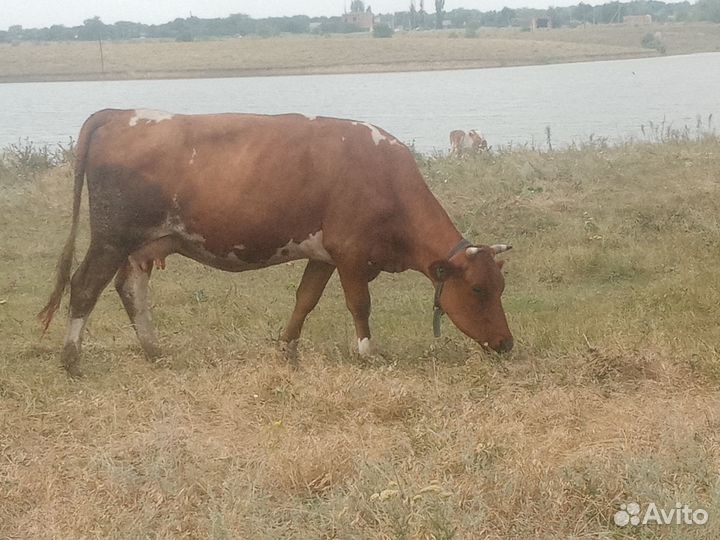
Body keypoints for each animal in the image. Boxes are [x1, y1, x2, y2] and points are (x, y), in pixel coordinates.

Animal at [39, 109, 513, 376]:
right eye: (477, 289)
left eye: (500, 287)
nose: (507, 344)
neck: (385, 177)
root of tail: (120, 113)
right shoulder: (351, 253)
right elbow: (359, 304)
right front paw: (368, 353)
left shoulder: (323, 255)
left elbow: (305, 300)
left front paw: (286, 350)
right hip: (111, 237)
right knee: (85, 287)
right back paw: (72, 359)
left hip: (142, 246)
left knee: (130, 290)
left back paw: (155, 352)